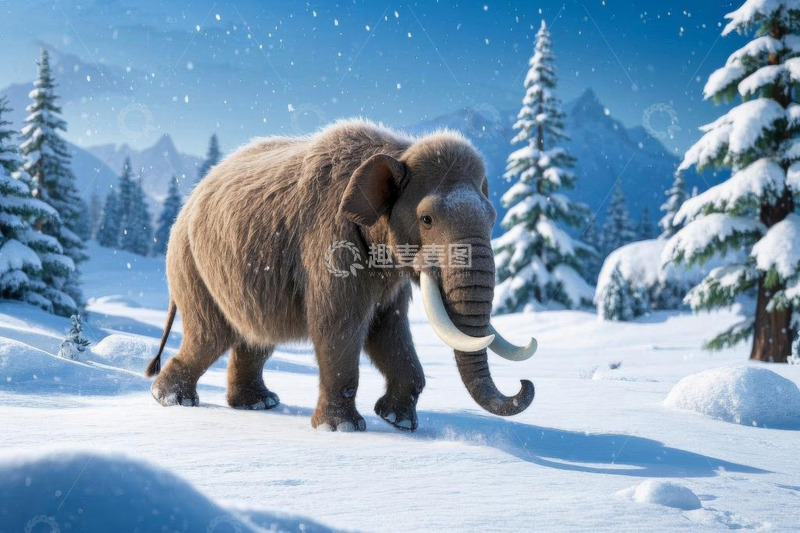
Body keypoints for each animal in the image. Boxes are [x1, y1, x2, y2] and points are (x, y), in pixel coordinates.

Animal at [145, 119, 537, 432]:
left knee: (255, 337)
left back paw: (259, 403)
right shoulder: (330, 241)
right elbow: (339, 323)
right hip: (191, 267)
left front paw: (397, 422)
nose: (525, 383)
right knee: (209, 336)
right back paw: (174, 400)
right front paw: (343, 429)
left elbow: (389, 328)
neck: (397, 149)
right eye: (427, 219)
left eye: (493, 217)